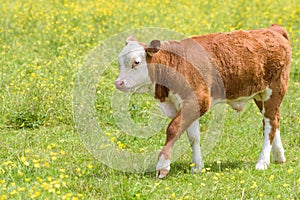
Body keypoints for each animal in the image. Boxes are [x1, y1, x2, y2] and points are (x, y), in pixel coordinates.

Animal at [114, 25, 290, 178]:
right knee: (273, 121)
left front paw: (163, 166)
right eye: (119, 62)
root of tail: (273, 30)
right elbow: (193, 137)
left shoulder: (198, 100)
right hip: (260, 95)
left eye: (136, 62)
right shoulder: (185, 105)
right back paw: (279, 156)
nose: (118, 83)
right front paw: (197, 167)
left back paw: (262, 162)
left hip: (274, 91)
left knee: (270, 124)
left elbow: (173, 129)